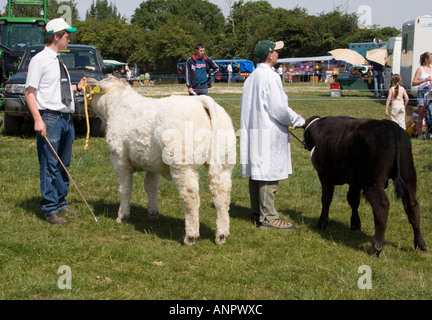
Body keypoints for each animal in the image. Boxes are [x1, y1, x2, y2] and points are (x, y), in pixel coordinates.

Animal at [87, 77, 236, 245]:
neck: (117, 105)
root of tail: (200, 99)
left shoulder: (119, 158)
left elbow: (125, 188)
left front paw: (122, 216)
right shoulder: (152, 164)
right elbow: (151, 187)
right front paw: (153, 213)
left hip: (183, 165)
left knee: (190, 197)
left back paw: (190, 236)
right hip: (224, 161)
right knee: (222, 195)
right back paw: (222, 235)